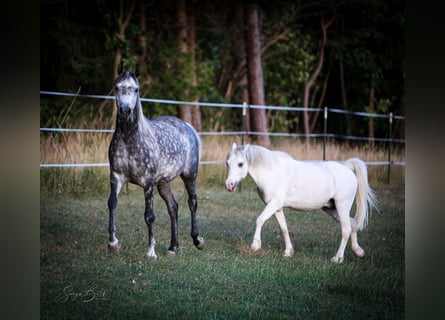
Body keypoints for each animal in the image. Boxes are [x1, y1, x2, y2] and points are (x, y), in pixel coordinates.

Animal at [106, 62, 204, 260]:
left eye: (136, 89)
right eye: (117, 87)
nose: (125, 111)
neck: (130, 139)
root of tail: (186, 126)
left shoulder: (147, 183)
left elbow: (149, 216)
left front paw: (151, 251)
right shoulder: (116, 177)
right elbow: (112, 203)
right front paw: (113, 243)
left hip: (190, 175)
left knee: (192, 203)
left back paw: (197, 240)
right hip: (163, 183)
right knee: (173, 207)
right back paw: (172, 247)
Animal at [224, 142, 376, 262]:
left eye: (240, 164)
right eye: (227, 163)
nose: (229, 185)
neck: (271, 172)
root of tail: (347, 167)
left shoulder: (274, 204)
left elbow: (259, 220)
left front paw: (255, 246)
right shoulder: (276, 207)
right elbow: (284, 228)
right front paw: (288, 252)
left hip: (342, 206)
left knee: (346, 229)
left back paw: (337, 258)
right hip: (331, 208)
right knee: (353, 224)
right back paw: (359, 252)